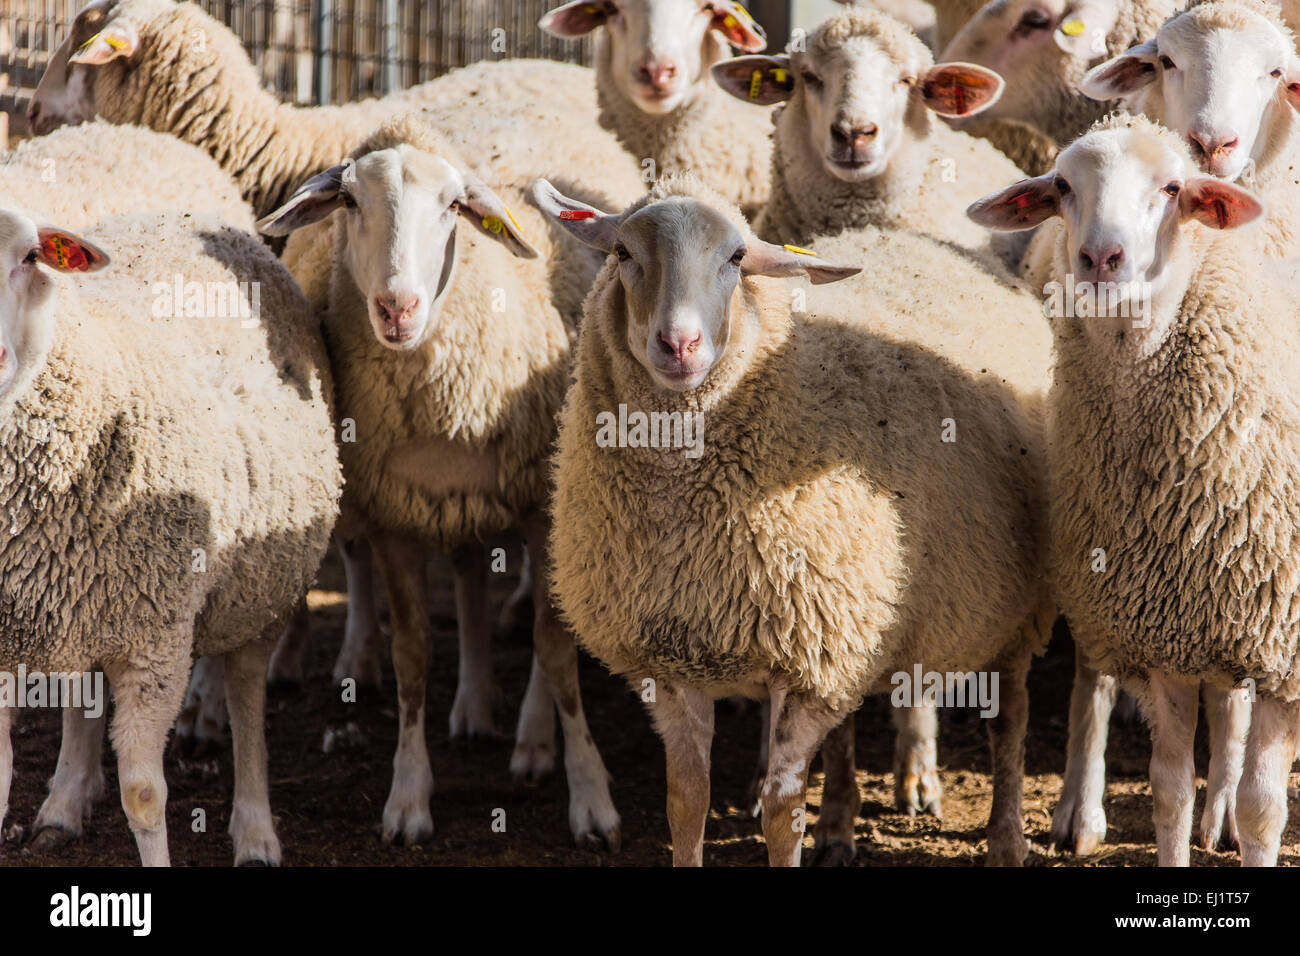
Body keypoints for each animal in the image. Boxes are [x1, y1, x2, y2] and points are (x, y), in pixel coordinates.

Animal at [0, 205, 341, 865]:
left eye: (30, 257)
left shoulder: (155, 643)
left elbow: (142, 794)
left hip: (259, 587)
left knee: (247, 693)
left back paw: (256, 829)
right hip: (88, 603)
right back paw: (63, 805)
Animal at [256, 107, 643, 848]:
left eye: (453, 208)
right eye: (351, 201)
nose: (397, 308)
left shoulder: (543, 503)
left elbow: (555, 649)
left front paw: (591, 795)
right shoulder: (395, 513)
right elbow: (412, 655)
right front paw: (408, 796)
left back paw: (531, 740)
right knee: (466, 575)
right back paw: (474, 704)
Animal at [534, 171, 1052, 866]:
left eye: (734, 258)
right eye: (622, 253)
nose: (679, 345)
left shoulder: (807, 667)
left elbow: (782, 814)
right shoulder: (676, 661)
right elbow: (685, 802)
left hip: (1009, 609)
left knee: (1012, 718)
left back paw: (1004, 836)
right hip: (861, 618)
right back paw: (838, 821)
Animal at [969, 111, 1300, 867]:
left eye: (1172, 188)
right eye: (1063, 187)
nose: (1101, 259)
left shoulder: (1281, 645)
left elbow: (1265, 808)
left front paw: (1246, 821)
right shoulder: (1165, 627)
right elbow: (1168, 792)